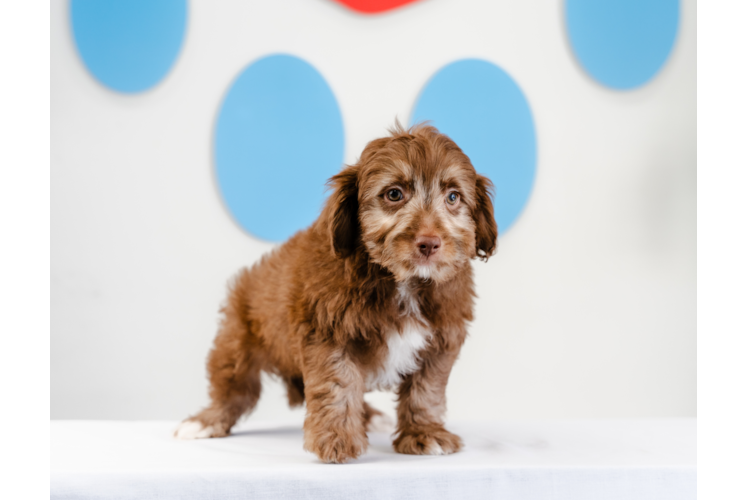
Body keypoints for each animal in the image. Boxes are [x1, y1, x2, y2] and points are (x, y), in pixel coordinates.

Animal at [175, 123, 496, 462]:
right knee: (234, 387)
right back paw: (205, 421)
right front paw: (337, 439)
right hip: (238, 339)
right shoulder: (328, 330)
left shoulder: (440, 339)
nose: (430, 243)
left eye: (453, 197)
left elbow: (426, 391)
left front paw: (424, 433)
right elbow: (337, 384)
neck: (403, 281)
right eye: (394, 194)